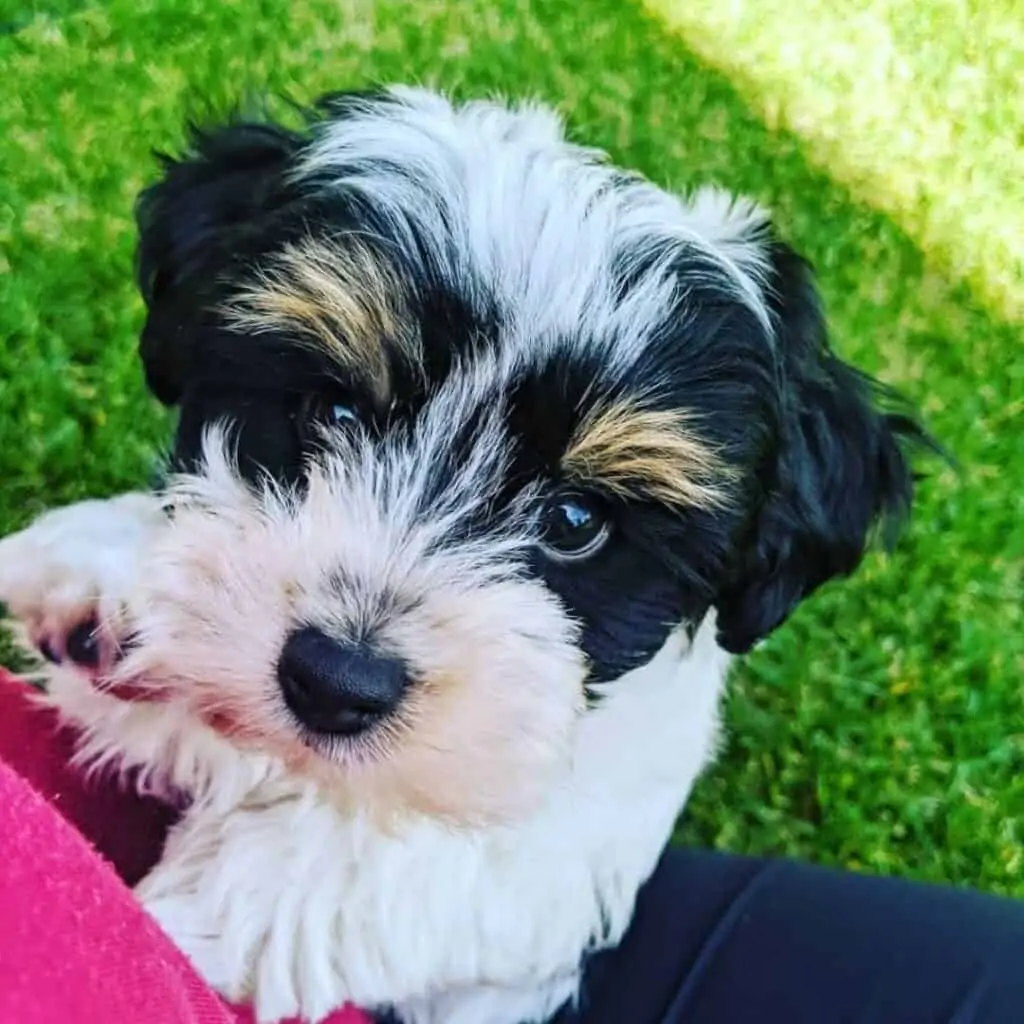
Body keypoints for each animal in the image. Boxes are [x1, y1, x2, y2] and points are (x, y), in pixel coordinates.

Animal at [0, 88, 933, 1024]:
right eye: (335, 413)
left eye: (576, 519)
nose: (336, 680)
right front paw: (109, 579)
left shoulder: (550, 856)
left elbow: (382, 866)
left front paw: (184, 921)